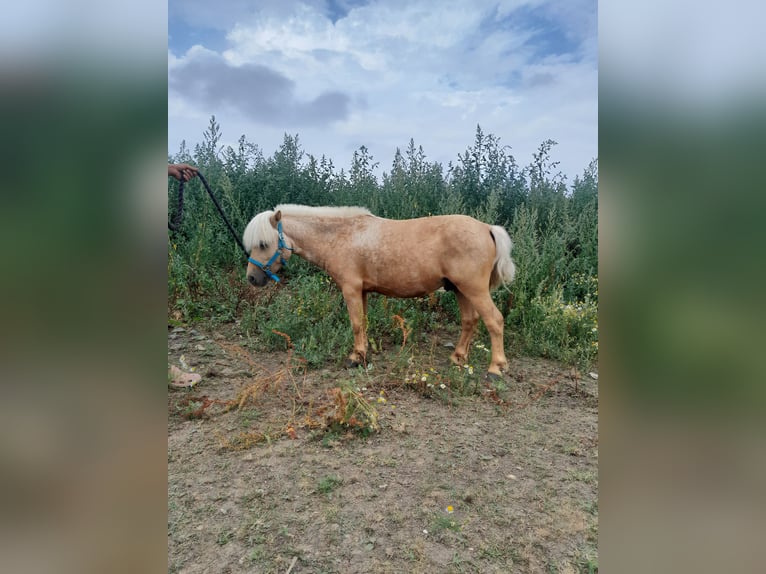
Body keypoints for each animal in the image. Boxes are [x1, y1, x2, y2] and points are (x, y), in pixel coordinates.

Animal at [243, 206, 520, 378]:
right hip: (462, 290)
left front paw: (355, 358)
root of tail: (487, 228)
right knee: (470, 321)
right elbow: (363, 323)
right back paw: (457, 357)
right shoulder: (363, 291)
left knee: (494, 321)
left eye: (263, 244)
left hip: (474, 290)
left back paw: (495, 369)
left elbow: (355, 324)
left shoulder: (351, 289)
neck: (340, 237)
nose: (252, 278)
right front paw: (363, 354)